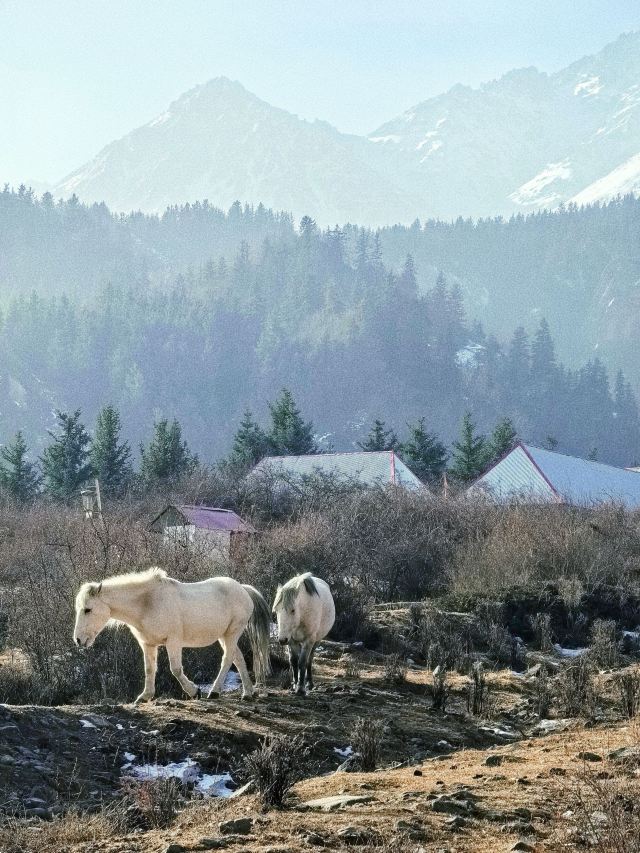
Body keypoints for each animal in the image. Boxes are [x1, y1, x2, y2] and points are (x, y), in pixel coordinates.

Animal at [73, 568, 271, 703]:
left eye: (88, 609)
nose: (78, 640)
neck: (147, 603)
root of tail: (243, 589)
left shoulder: (173, 642)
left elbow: (175, 669)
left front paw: (194, 692)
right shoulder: (148, 644)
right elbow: (149, 669)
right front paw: (145, 696)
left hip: (232, 633)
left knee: (228, 659)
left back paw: (214, 692)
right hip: (224, 636)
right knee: (238, 659)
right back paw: (247, 694)